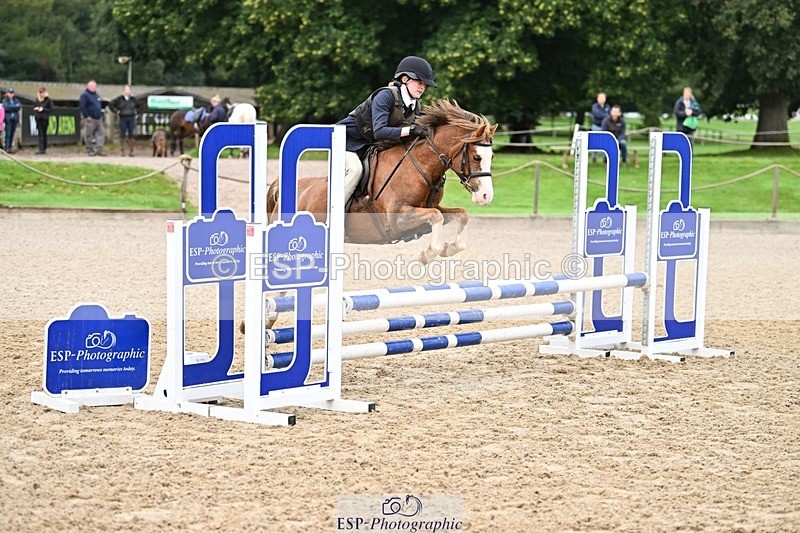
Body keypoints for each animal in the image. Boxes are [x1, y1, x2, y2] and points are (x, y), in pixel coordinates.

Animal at [266, 99, 497, 265]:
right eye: (476, 157)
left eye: (492, 156)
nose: (486, 196)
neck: (420, 166)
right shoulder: (397, 218)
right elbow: (436, 217)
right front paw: (428, 254)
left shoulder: (431, 208)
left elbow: (460, 214)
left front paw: (450, 249)